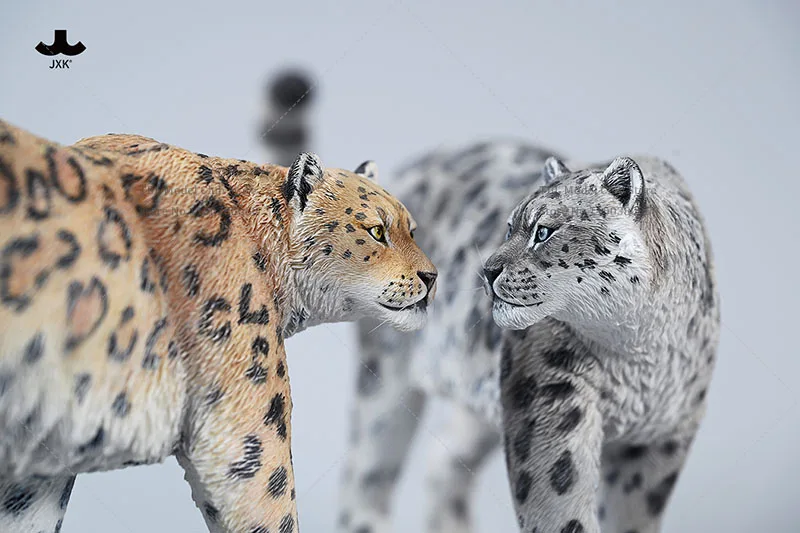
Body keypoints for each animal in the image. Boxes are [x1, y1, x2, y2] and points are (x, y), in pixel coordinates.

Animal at [336, 140, 720, 533]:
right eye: (509, 228)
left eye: (544, 231)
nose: (488, 271)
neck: (640, 354)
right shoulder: (551, 397)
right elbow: (563, 507)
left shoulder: (660, 438)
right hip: (386, 375)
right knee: (367, 473)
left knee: (443, 462)